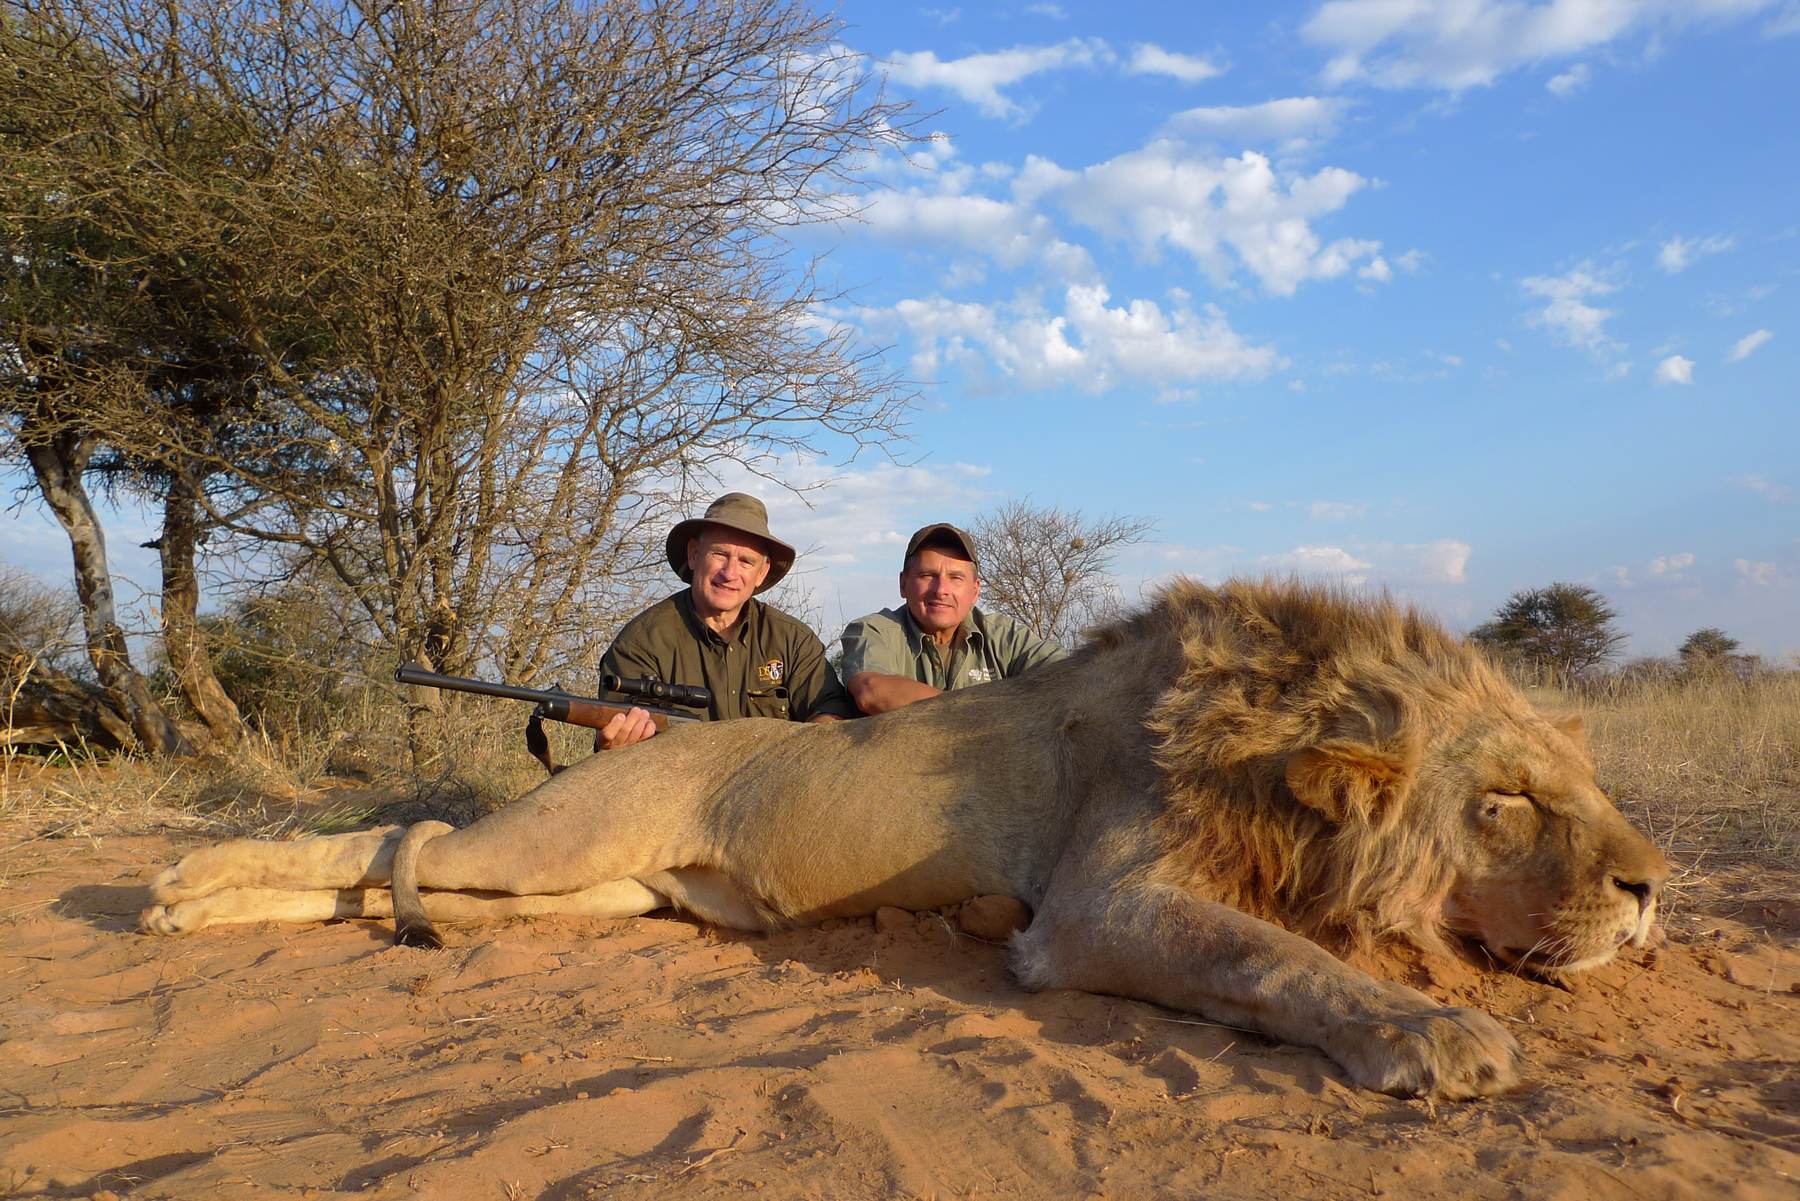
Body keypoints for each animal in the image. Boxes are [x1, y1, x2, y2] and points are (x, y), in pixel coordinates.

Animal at [141, 578, 1669, 1100]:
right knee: (390, 836)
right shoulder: (1093, 911)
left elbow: (1286, 948)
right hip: (555, 842)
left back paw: (192, 904)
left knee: (394, 871)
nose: (1653, 889)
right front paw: (1439, 1035)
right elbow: (1276, 959)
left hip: (599, 894)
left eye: (1585, 784)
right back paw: (173, 889)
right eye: (1512, 800)